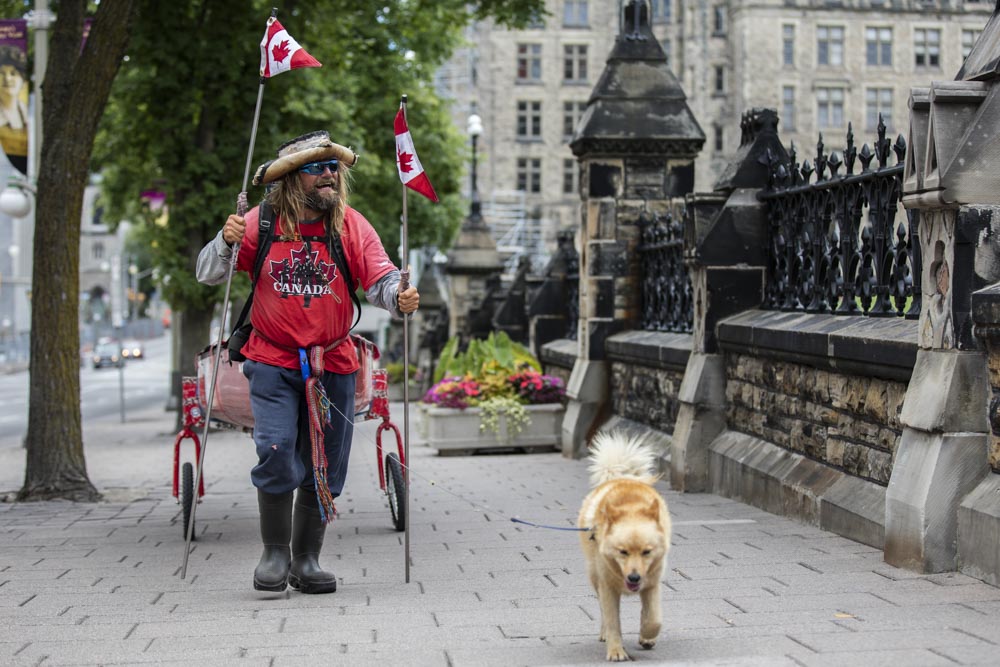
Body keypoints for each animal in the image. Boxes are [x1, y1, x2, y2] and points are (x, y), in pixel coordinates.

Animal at [580, 434, 672, 664]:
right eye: (622, 552)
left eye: (647, 552)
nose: (634, 578)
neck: (630, 508)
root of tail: (621, 476)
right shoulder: (608, 588)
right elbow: (613, 621)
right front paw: (616, 651)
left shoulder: (652, 584)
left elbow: (653, 618)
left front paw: (647, 636)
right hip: (595, 577)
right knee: (603, 612)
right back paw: (604, 633)